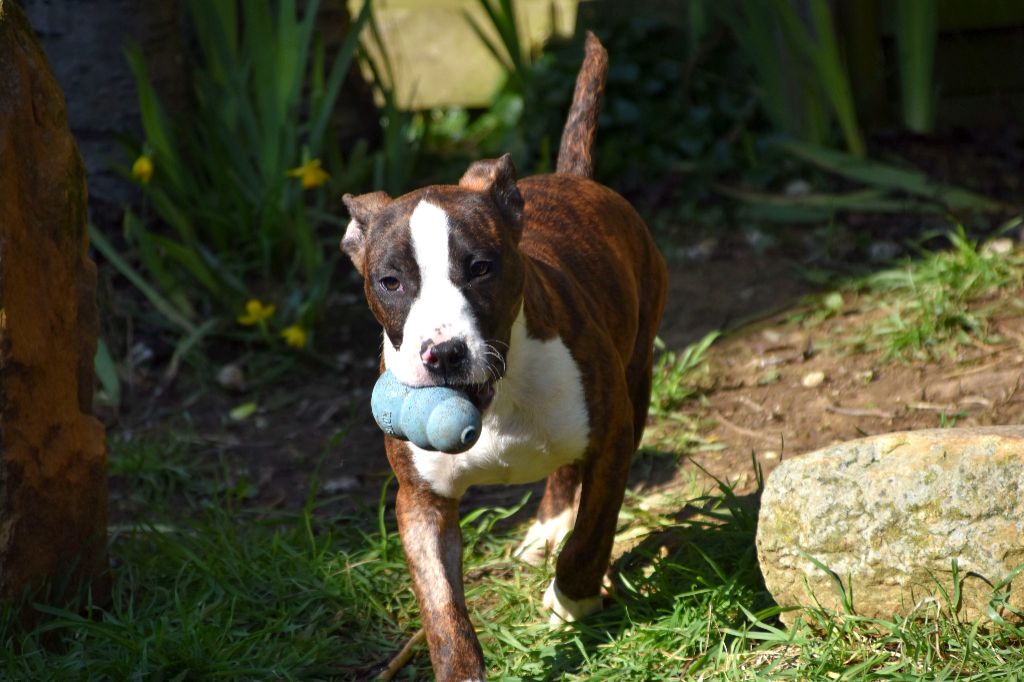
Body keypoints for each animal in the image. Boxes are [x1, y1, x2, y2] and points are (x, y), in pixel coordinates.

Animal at [339, 33, 667, 679]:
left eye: (480, 268)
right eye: (390, 281)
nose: (443, 353)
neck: (499, 397)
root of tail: (571, 178)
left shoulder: (613, 438)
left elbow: (593, 533)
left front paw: (573, 598)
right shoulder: (420, 503)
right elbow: (441, 607)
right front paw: (461, 667)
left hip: (638, 366)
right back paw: (548, 526)